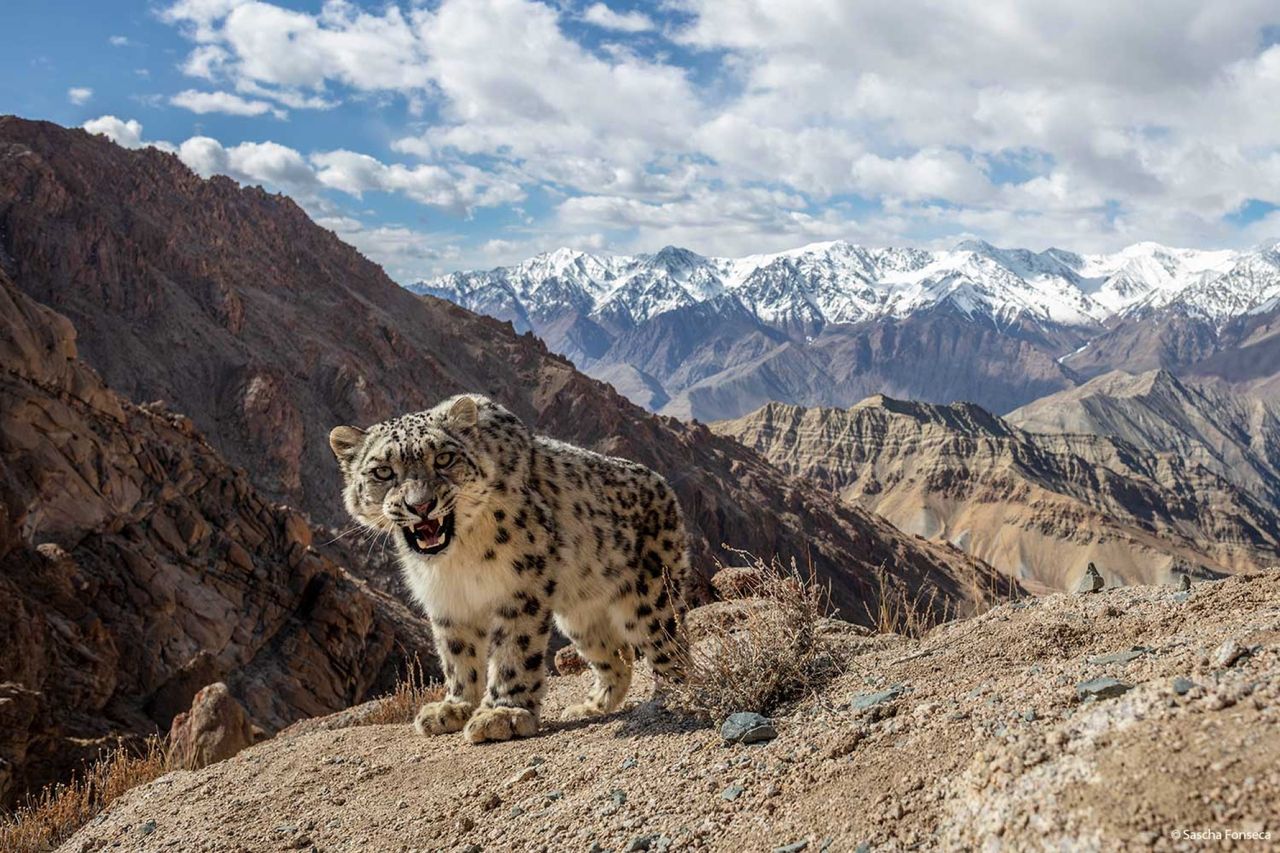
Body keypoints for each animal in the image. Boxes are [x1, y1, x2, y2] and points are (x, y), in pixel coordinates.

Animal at [330, 394, 691, 742]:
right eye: (382, 472)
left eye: (444, 459)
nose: (420, 505)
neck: (458, 556)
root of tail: (665, 486)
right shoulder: (447, 600)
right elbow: (456, 653)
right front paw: (454, 707)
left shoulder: (521, 584)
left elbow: (513, 649)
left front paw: (502, 714)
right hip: (580, 617)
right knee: (616, 656)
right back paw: (590, 707)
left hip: (651, 598)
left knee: (670, 647)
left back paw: (674, 695)